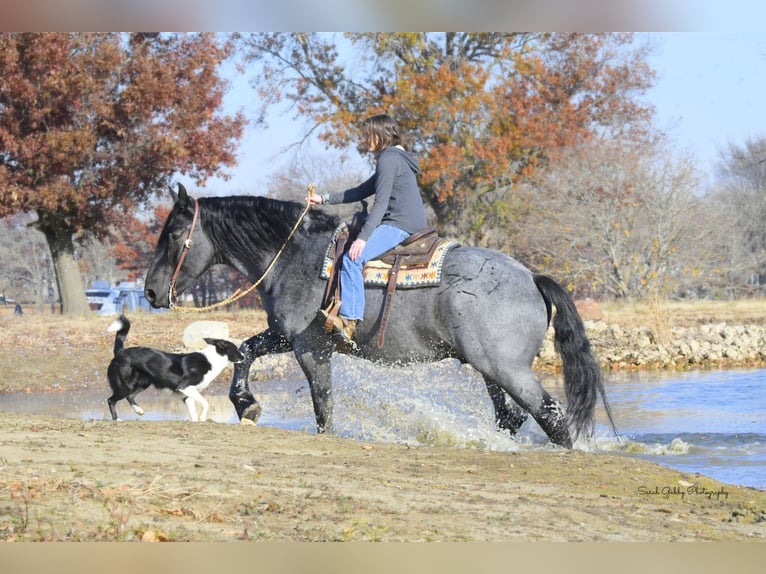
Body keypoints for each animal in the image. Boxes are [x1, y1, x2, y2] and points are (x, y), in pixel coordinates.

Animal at [106, 316, 244, 424]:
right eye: (236, 349)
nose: (244, 356)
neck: (212, 359)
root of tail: (120, 352)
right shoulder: (185, 387)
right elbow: (205, 403)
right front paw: (203, 417)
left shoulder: (187, 396)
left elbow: (193, 414)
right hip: (125, 386)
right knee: (111, 400)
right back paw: (116, 419)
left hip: (143, 383)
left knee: (130, 397)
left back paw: (139, 411)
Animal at [144, 184, 616, 450]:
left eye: (174, 233)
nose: (150, 291)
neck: (295, 254)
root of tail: (531, 277)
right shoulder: (286, 335)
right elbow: (244, 350)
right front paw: (246, 403)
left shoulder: (308, 345)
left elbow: (322, 402)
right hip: (492, 369)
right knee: (511, 416)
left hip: (508, 369)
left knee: (551, 415)